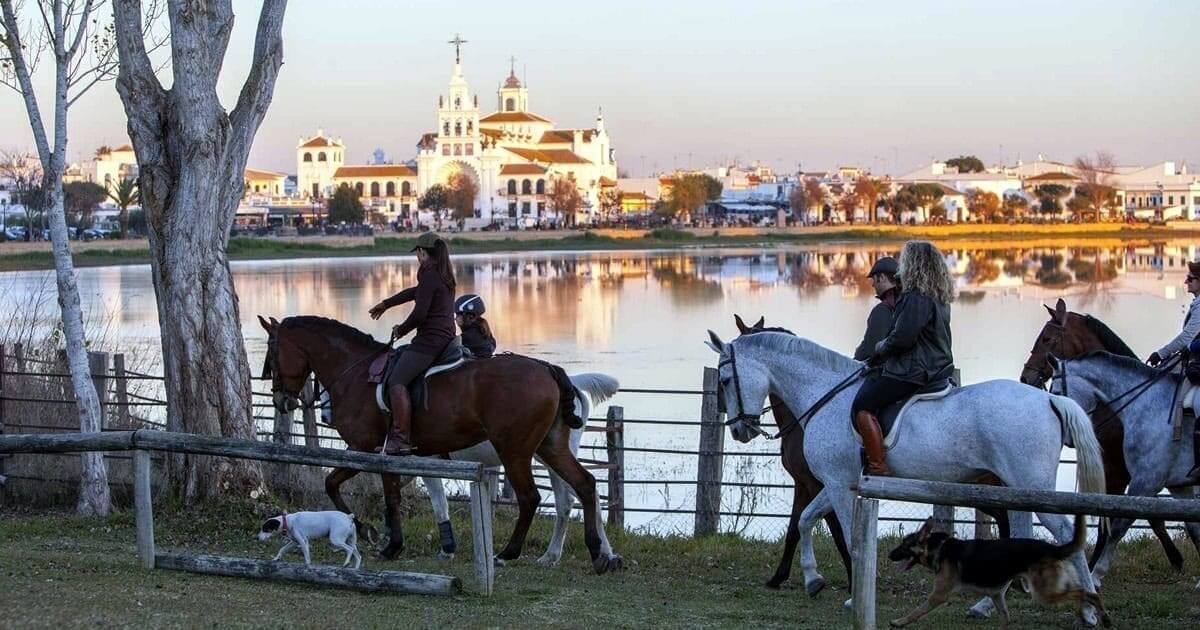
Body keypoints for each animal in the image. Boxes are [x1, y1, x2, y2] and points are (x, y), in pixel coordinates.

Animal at [324, 372, 619, 561]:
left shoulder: (428, 462)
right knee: (579, 494)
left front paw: (444, 548)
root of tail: (572, 384)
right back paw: (581, 554)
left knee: (575, 496)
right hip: (550, 454)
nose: (326, 415)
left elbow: (437, 501)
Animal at [888, 513, 1108, 624]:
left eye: (904, 545)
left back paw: (1098, 616)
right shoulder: (997, 596)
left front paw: (898, 621)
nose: (889, 555)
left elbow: (917, 611)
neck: (940, 548)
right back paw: (1100, 618)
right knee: (1086, 593)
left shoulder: (938, 596)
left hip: (1043, 594)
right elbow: (1005, 619)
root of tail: (1053, 548)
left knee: (1088, 593)